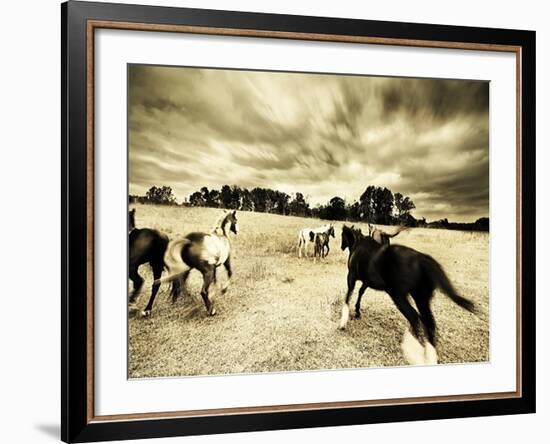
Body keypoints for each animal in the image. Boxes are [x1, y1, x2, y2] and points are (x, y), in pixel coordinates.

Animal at [338, 225, 476, 364]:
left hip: (399, 297)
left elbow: (348, 295)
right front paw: (357, 312)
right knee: (429, 322)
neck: (358, 245)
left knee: (415, 318)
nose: (342, 247)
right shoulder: (366, 281)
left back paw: (415, 352)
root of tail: (422, 259)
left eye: (342, 235)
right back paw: (429, 356)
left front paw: (343, 322)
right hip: (421, 298)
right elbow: (360, 293)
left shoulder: (352, 276)